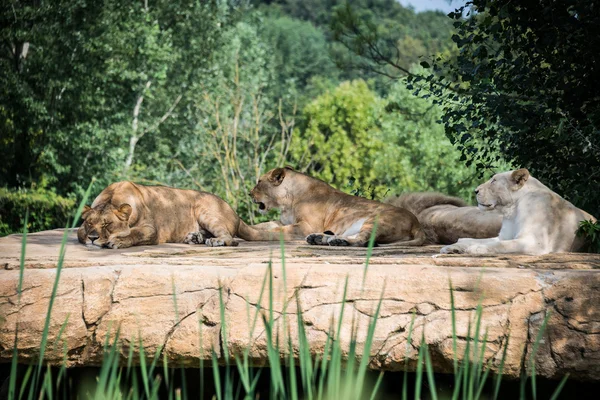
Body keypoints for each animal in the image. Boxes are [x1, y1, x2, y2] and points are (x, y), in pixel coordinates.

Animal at [77, 180, 272, 247]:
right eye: (89, 223)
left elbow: (135, 234)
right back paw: (195, 238)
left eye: (107, 224)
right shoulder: (81, 228)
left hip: (204, 210)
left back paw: (215, 241)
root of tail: (235, 213)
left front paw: (117, 241)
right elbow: (80, 234)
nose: (93, 238)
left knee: (231, 239)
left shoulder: (151, 229)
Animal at [438, 168, 596, 255]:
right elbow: (472, 239)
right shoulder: (504, 236)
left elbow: (499, 245)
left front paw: (476, 248)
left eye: (494, 181)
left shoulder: (534, 242)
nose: (475, 191)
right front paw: (453, 247)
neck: (512, 210)